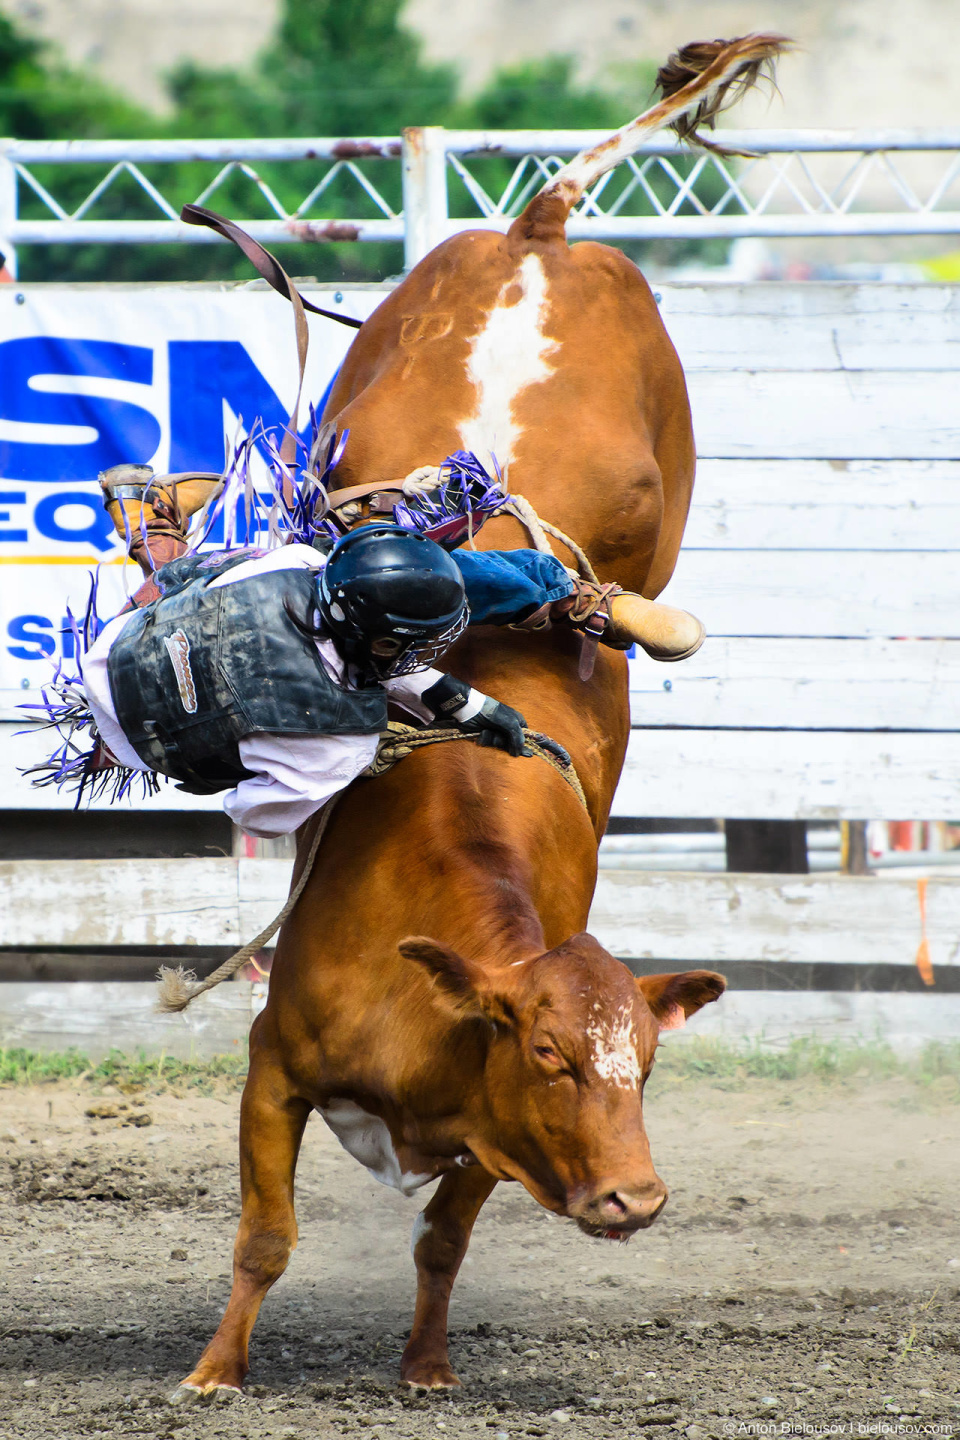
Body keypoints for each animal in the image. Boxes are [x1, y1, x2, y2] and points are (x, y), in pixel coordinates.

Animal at [179, 30, 788, 1393]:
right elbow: (264, 1237)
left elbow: (441, 1241)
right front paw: (213, 1373)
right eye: (553, 1056)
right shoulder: (270, 1068)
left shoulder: (481, 1142)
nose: (635, 1200)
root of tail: (540, 234)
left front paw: (425, 1368)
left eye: (644, 1063)